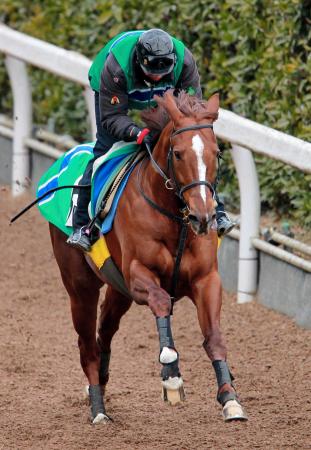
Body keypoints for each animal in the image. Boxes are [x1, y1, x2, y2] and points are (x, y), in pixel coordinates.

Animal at [50, 89, 247, 424]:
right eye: (178, 154)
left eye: (217, 152)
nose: (204, 216)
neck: (175, 219)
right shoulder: (138, 274)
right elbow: (161, 302)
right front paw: (171, 376)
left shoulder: (206, 279)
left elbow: (214, 337)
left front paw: (230, 398)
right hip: (80, 286)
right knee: (87, 344)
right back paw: (98, 409)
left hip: (118, 290)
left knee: (105, 331)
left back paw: (101, 384)